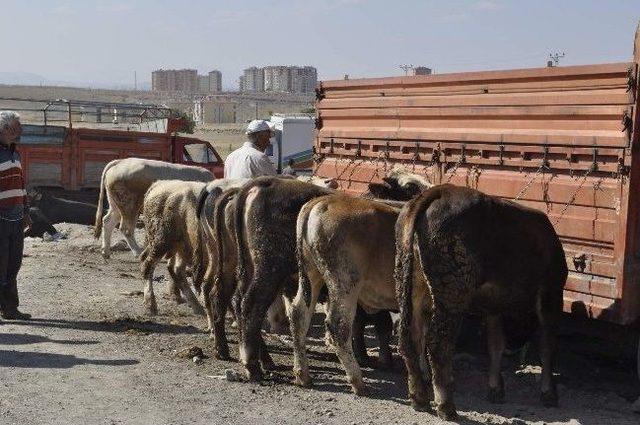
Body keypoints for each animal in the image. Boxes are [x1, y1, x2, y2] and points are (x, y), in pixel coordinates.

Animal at [396, 184, 568, 420]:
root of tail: (437, 192)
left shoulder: (494, 307)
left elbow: (495, 344)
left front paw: (495, 389)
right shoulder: (551, 294)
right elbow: (547, 346)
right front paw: (549, 394)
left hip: (409, 282)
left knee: (410, 338)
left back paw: (419, 398)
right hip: (453, 294)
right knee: (438, 344)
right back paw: (446, 406)